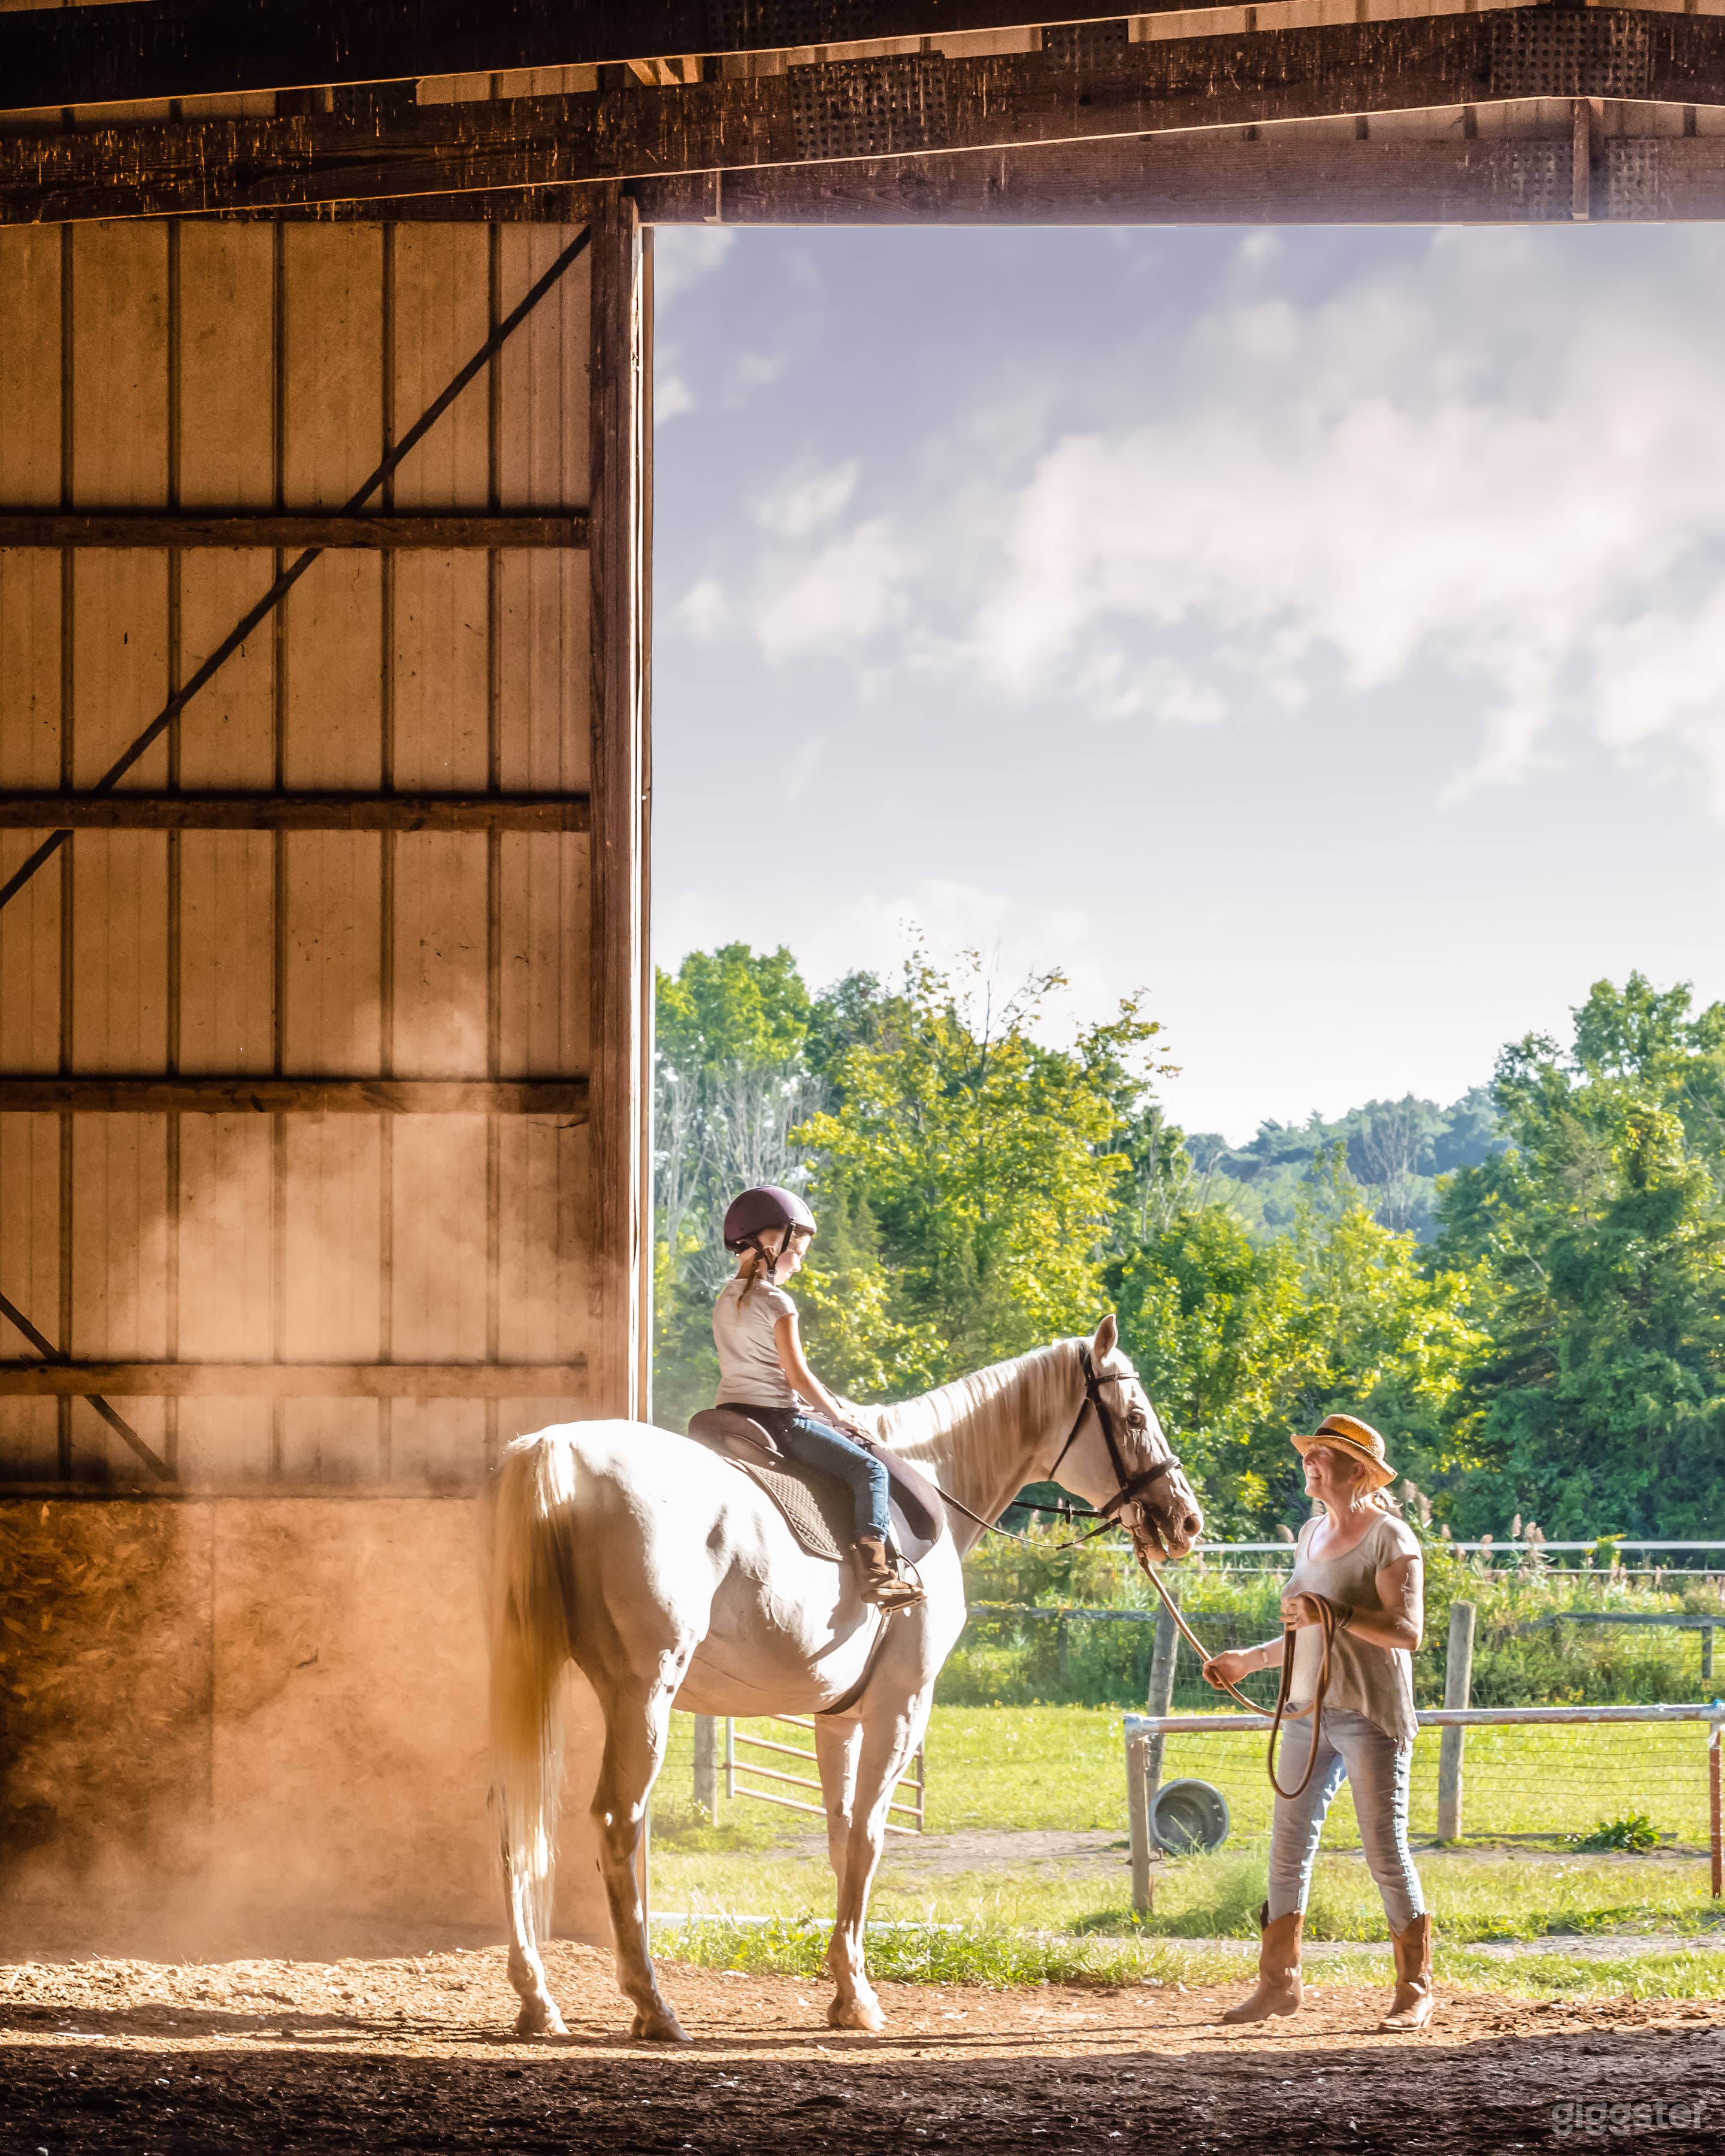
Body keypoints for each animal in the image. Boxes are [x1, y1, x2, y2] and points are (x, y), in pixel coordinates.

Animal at [482, 1312, 1203, 2042]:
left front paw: (841, 1983)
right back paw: (651, 2004)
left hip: (538, 1683)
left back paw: (537, 1998)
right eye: (1135, 1416)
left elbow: (838, 1835)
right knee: (616, 1820)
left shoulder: (839, 1720)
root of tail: (558, 1452)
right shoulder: (901, 1706)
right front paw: (857, 1995)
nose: (1185, 1518)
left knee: (511, 1814)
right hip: (642, 1697)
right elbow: (867, 1835)